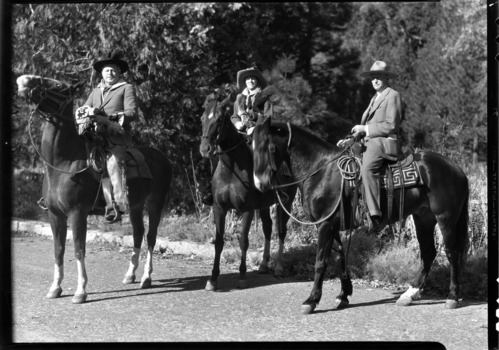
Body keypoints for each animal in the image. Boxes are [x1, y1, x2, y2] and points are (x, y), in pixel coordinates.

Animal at [16, 74, 173, 304]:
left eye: (58, 85)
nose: (23, 80)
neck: (63, 163)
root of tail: (162, 157)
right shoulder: (55, 215)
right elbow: (58, 250)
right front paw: (55, 288)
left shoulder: (78, 213)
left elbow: (79, 250)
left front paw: (81, 291)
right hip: (135, 206)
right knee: (138, 233)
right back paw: (130, 275)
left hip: (154, 204)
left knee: (151, 237)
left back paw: (146, 277)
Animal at [199, 91, 298, 290]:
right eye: (202, 119)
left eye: (219, 119)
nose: (205, 149)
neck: (232, 169)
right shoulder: (219, 208)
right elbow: (219, 241)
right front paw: (213, 279)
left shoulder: (247, 209)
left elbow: (243, 240)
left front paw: (242, 276)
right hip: (265, 205)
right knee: (268, 229)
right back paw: (264, 264)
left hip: (286, 203)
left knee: (281, 231)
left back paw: (278, 268)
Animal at [252, 117, 470, 314]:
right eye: (252, 147)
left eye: (270, 148)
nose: (260, 184)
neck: (321, 171)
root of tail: (458, 169)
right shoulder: (331, 225)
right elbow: (339, 257)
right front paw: (344, 294)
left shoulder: (325, 225)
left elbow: (321, 262)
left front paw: (312, 300)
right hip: (423, 218)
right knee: (428, 253)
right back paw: (409, 294)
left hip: (445, 219)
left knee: (452, 253)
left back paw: (452, 296)